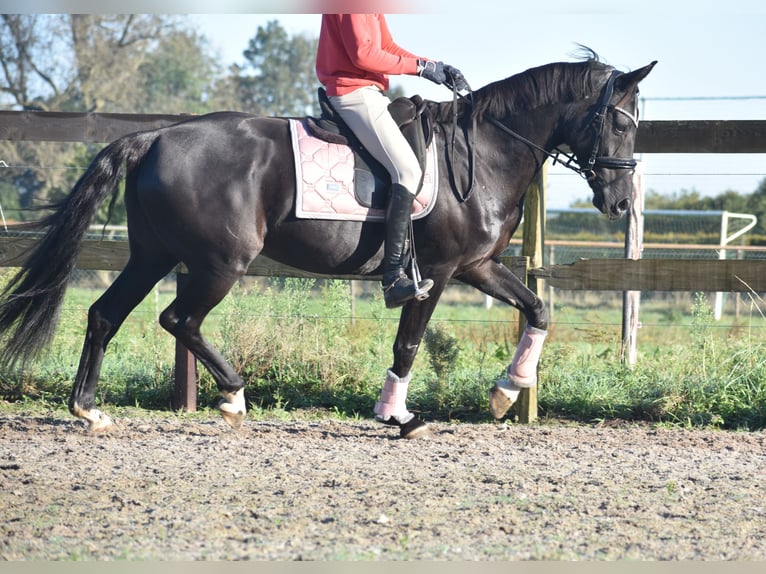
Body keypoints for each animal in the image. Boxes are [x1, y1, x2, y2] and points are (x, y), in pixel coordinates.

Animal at [1, 55, 656, 436]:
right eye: (619, 122)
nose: (619, 203)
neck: (487, 149)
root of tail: (155, 135)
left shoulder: (478, 265)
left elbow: (538, 309)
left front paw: (506, 391)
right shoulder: (437, 271)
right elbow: (408, 343)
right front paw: (398, 416)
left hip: (154, 255)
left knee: (105, 314)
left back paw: (89, 410)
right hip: (219, 262)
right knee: (178, 318)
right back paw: (233, 396)